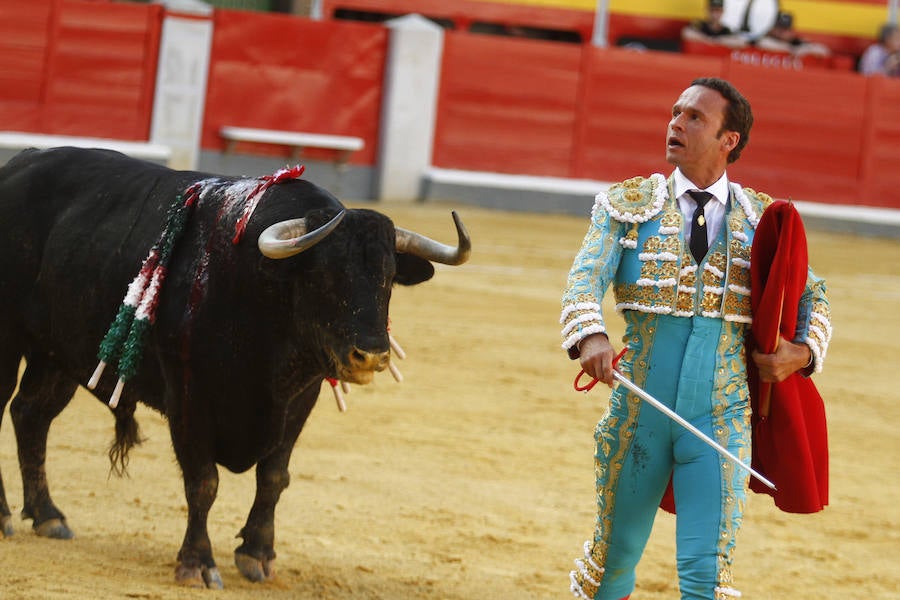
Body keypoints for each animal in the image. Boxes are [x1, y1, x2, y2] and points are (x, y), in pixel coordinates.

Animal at [0, 148, 474, 588]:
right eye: (323, 274)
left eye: (388, 277)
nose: (372, 356)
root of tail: (19, 164)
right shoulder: (188, 398)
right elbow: (203, 482)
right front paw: (196, 563)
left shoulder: (300, 398)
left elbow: (274, 476)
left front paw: (257, 554)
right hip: (10, 340)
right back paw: (7, 517)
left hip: (57, 354)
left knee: (31, 415)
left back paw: (48, 515)